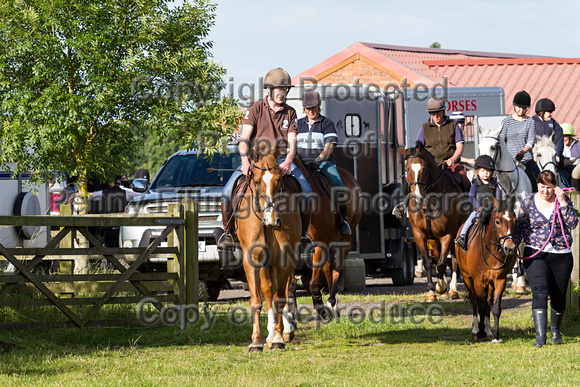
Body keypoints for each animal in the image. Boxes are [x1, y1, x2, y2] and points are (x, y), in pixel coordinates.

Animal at [236, 144, 302, 354]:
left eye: (279, 180)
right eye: (256, 182)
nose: (272, 219)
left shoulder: (285, 258)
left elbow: (281, 297)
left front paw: (279, 339)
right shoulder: (251, 259)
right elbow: (257, 300)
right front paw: (256, 341)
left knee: (284, 290)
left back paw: (283, 332)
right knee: (267, 290)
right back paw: (270, 334)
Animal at [294, 158, 362, 318]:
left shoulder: (319, 244)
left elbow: (313, 283)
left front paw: (320, 307)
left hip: (345, 240)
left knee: (337, 267)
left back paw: (331, 302)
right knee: (327, 268)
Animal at [402, 143, 468, 304]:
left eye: (424, 169)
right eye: (407, 169)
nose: (417, 199)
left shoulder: (448, 234)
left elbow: (443, 263)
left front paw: (442, 287)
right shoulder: (420, 234)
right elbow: (428, 262)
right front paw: (432, 292)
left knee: (453, 260)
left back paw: (452, 290)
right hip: (433, 238)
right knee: (438, 257)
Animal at [458, 199, 516, 344]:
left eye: (515, 220)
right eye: (498, 221)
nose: (510, 248)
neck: (491, 250)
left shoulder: (500, 279)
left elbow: (495, 308)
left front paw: (496, 335)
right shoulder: (478, 280)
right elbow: (481, 307)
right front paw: (480, 332)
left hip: (489, 282)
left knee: (488, 300)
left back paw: (488, 329)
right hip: (467, 277)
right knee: (474, 300)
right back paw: (475, 329)